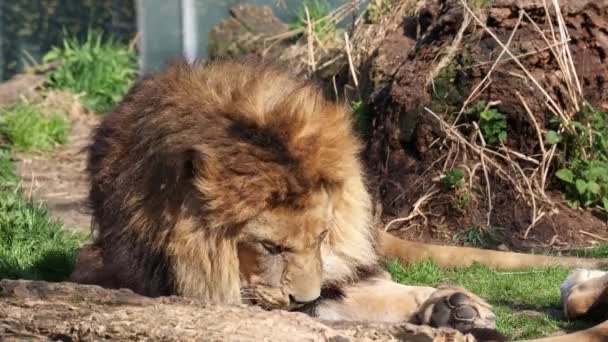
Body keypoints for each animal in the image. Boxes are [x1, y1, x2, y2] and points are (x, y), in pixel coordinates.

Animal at [70, 58, 608, 340]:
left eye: (323, 236)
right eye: (269, 248)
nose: (304, 297)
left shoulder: (336, 274)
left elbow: (375, 291)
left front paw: (453, 306)